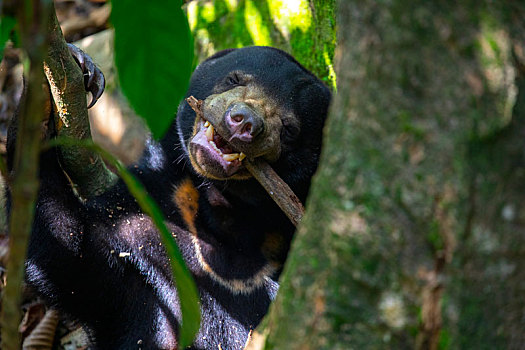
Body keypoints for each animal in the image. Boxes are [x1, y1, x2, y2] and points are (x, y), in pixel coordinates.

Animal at [6, 46, 330, 350]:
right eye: (235, 79)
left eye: (290, 129)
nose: (243, 123)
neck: (222, 216)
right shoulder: (139, 219)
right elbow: (69, 253)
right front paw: (57, 82)